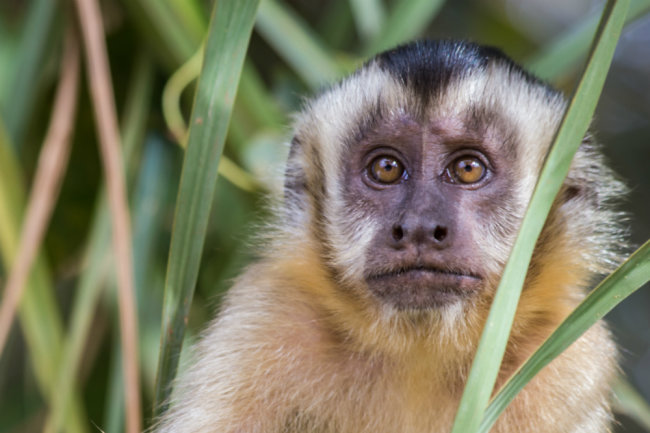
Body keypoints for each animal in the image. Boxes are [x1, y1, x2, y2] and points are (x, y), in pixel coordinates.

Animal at [154, 40, 624, 432]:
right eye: (386, 168)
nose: (419, 226)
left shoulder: (570, 359)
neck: (420, 351)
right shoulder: (264, 315)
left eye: (468, 168)